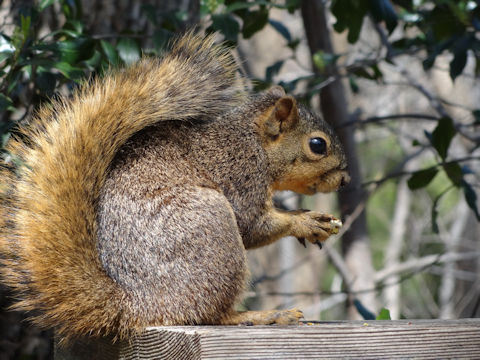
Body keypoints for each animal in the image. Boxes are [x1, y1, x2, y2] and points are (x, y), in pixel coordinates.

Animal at [0, 33, 348, 340]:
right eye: (317, 145)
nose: (345, 179)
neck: (255, 142)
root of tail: (137, 306)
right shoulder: (240, 174)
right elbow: (251, 225)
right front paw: (305, 222)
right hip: (212, 228)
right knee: (209, 314)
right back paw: (261, 315)